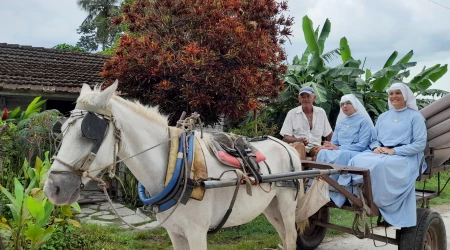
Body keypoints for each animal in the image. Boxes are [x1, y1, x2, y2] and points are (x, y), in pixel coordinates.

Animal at [43, 81, 306, 248]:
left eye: (89, 133)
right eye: (62, 130)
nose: (53, 189)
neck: (175, 166)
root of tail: (287, 146)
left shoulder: (197, 233)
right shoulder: (175, 232)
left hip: (286, 204)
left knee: (291, 238)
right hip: (270, 207)